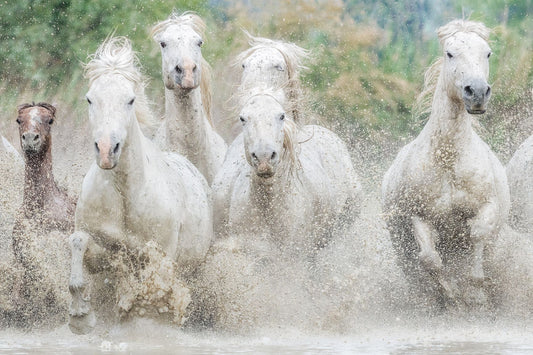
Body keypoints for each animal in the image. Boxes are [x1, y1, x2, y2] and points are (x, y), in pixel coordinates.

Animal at [67, 37, 213, 336]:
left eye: (130, 100)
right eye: (90, 99)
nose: (106, 150)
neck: (125, 192)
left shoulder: (159, 254)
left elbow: (150, 291)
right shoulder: (103, 251)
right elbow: (78, 243)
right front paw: (80, 316)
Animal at [380, 20, 510, 308]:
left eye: (488, 53)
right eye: (450, 53)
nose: (477, 93)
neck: (448, 160)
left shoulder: (487, 206)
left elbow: (477, 235)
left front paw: (475, 293)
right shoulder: (419, 216)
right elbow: (430, 259)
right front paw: (450, 294)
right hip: (400, 249)